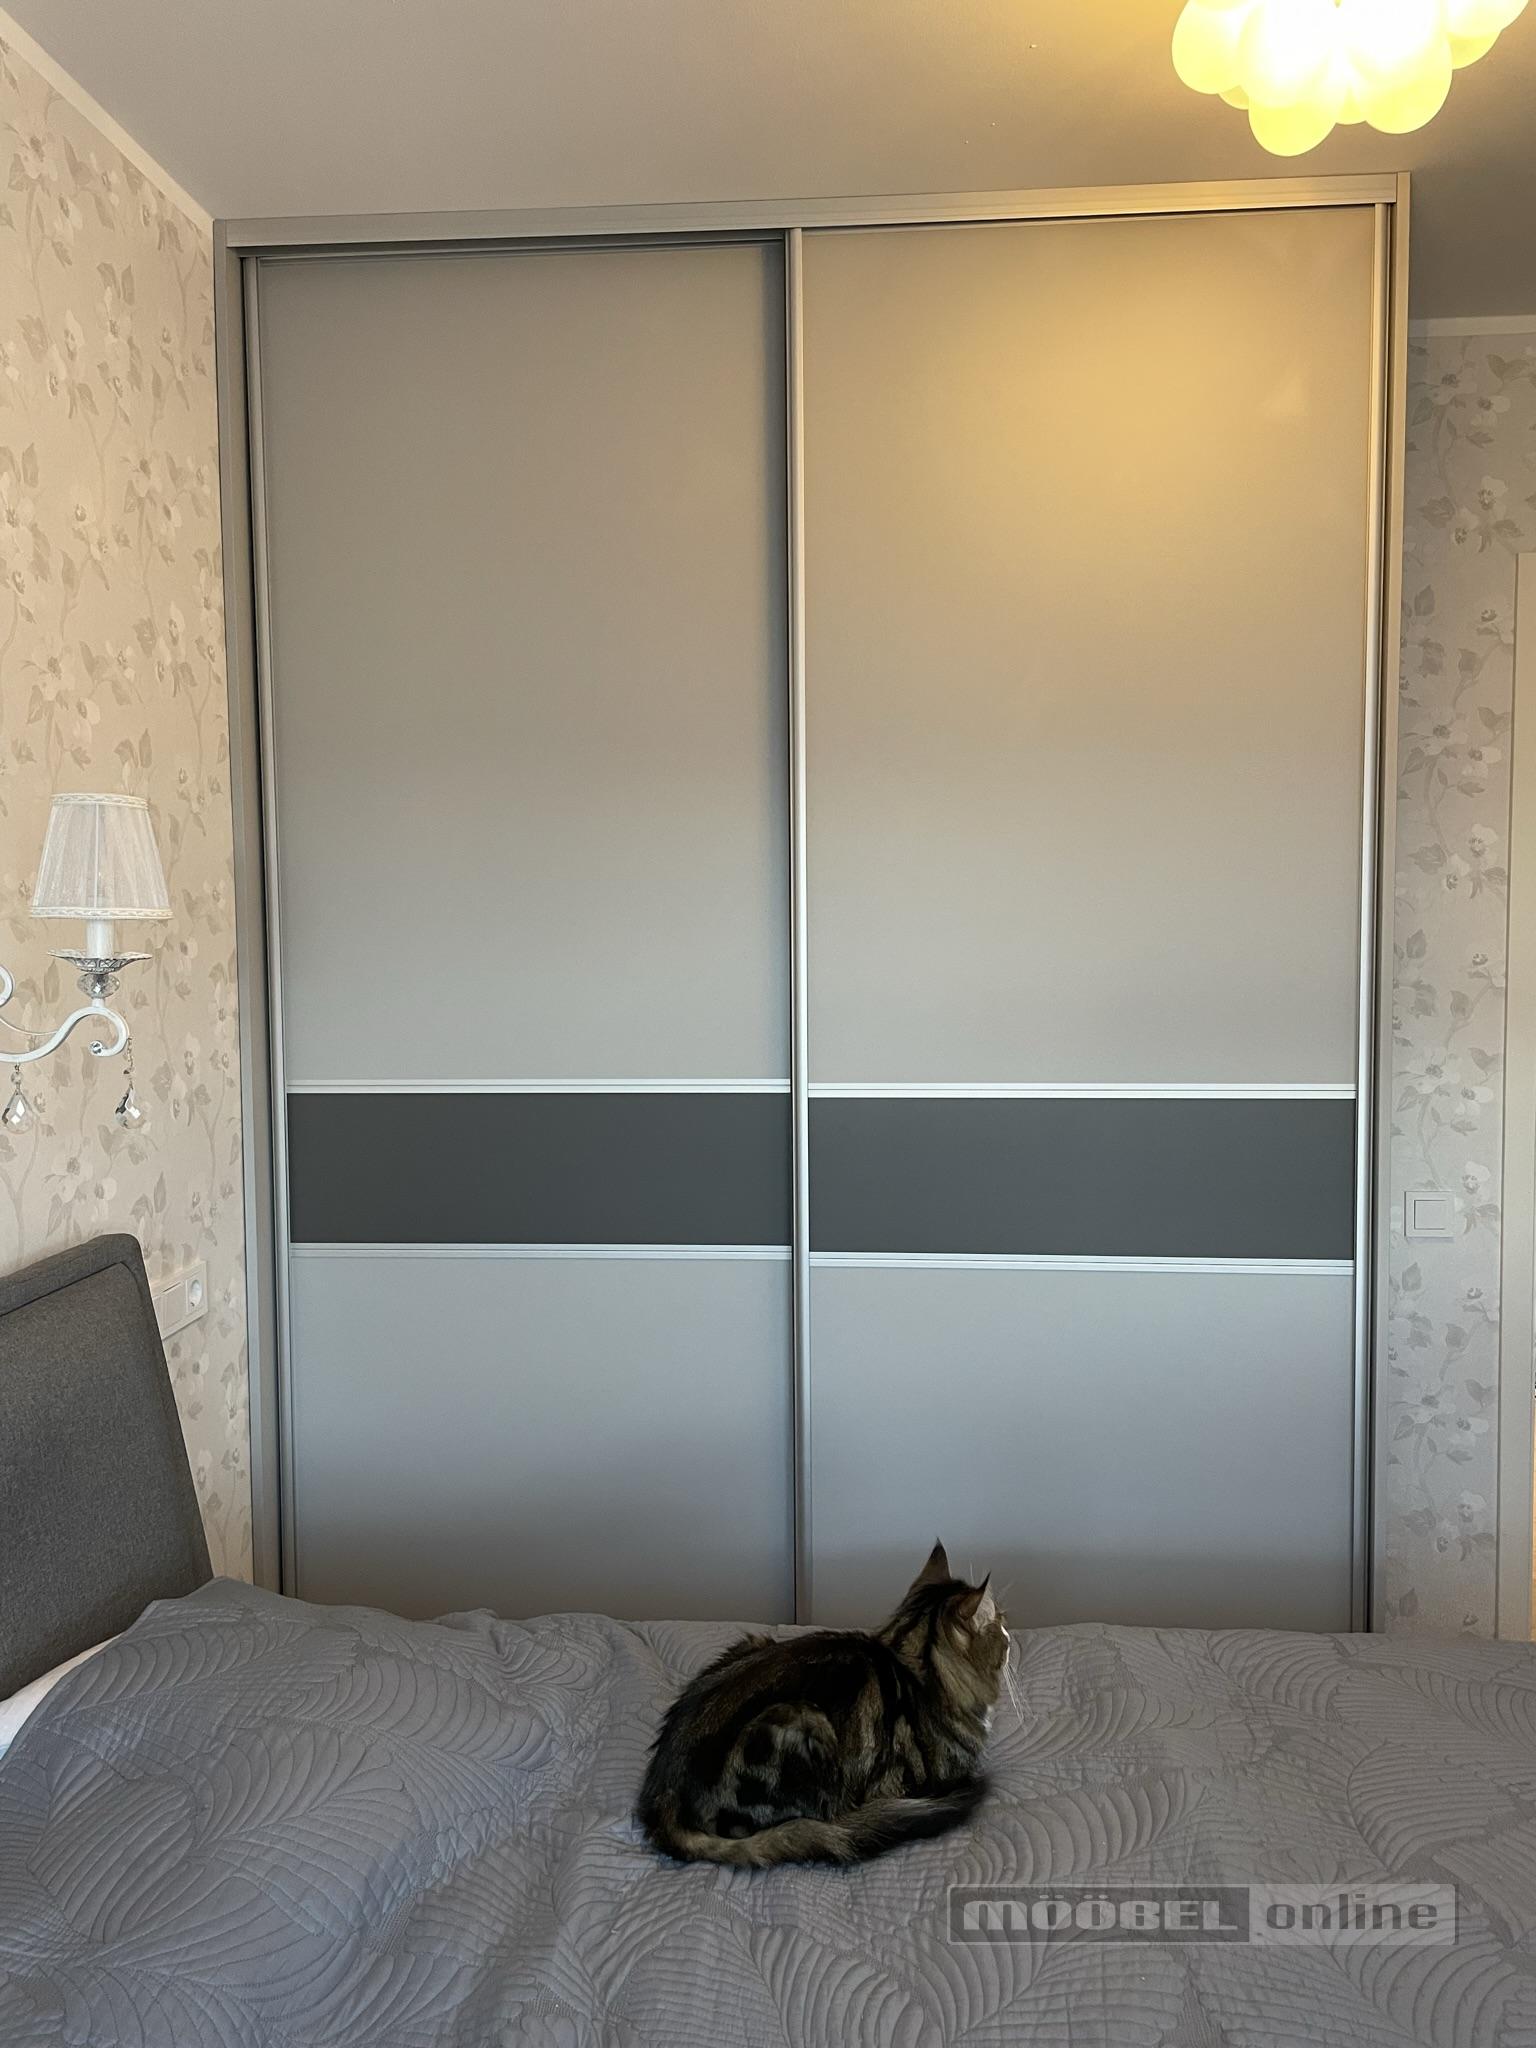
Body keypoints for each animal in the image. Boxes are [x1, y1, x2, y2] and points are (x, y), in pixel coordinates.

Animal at [636, 1541, 1009, 1868]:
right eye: (1002, 1623)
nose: (1009, 1635)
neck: (914, 1667)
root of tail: (663, 1799)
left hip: (753, 1643)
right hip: (798, 1721)